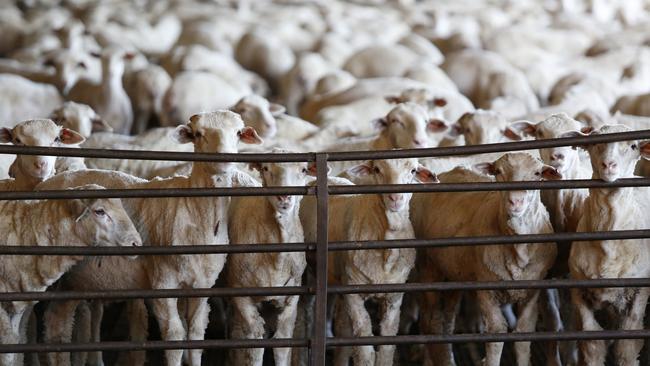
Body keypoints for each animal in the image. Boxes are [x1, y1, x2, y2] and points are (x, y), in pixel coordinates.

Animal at [302, 157, 438, 366]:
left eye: (413, 171)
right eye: (377, 169)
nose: (395, 198)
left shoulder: (394, 297)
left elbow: (386, 349)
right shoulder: (353, 292)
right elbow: (364, 351)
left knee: (343, 326)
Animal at [412, 153, 560, 366]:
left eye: (537, 173)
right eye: (497, 171)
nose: (515, 201)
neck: (518, 249)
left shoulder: (532, 290)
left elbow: (524, 334)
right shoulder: (486, 289)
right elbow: (496, 333)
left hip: (453, 273)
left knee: (447, 319)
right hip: (428, 267)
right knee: (432, 320)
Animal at [560, 124, 648, 364]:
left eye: (633, 145)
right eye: (595, 142)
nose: (608, 164)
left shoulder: (639, 291)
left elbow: (626, 346)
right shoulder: (579, 290)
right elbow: (592, 343)